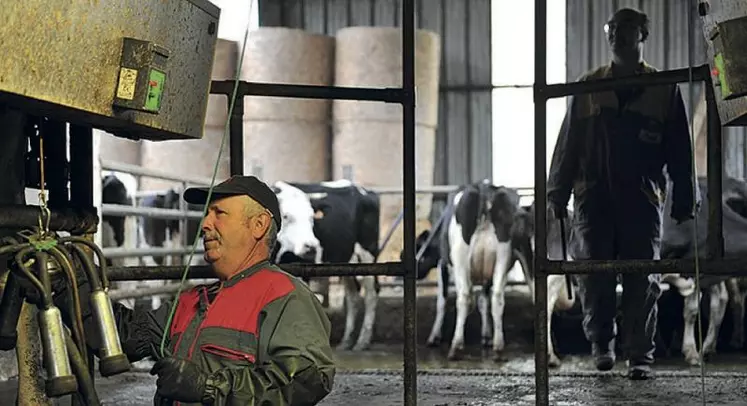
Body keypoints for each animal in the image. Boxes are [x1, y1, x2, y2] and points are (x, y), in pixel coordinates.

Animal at [272, 179, 382, 350]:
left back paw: (362, 341)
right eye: (286, 216)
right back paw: (346, 341)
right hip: (347, 261)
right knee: (352, 296)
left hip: (368, 253)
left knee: (371, 293)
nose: (311, 248)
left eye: (312, 218)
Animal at [412, 180, 576, 364]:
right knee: (498, 297)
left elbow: (442, 301)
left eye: (419, 250)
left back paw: (456, 347)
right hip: (503, 255)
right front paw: (487, 336)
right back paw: (499, 348)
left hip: (461, 255)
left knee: (464, 297)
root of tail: (484, 190)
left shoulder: (443, 264)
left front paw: (434, 337)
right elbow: (484, 300)